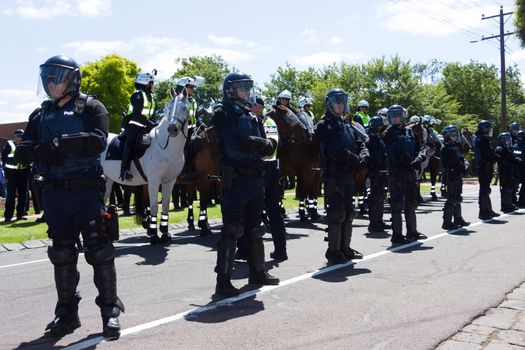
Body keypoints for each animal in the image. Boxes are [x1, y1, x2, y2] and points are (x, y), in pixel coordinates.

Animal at [100, 91, 188, 241]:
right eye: (169, 108)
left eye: (184, 108)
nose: (172, 129)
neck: (165, 147)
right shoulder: (153, 181)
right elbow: (154, 207)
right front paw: (154, 235)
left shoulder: (170, 181)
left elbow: (165, 206)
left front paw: (165, 233)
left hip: (108, 180)